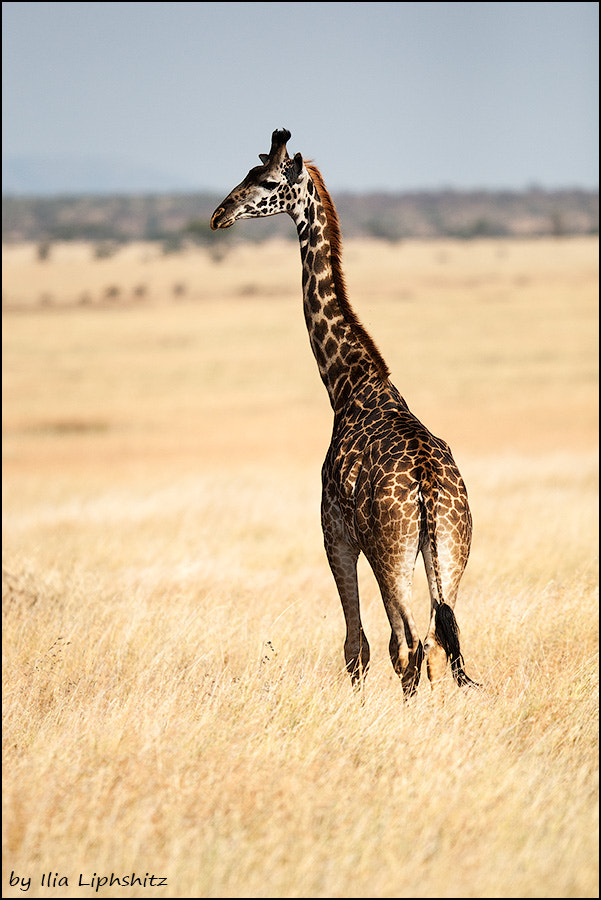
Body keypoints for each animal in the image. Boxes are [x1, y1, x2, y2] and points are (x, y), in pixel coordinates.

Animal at [211, 130, 478, 700]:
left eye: (265, 181)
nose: (219, 215)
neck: (346, 384)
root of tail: (428, 491)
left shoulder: (334, 530)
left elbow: (359, 646)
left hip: (392, 551)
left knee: (410, 644)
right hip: (450, 550)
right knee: (442, 643)